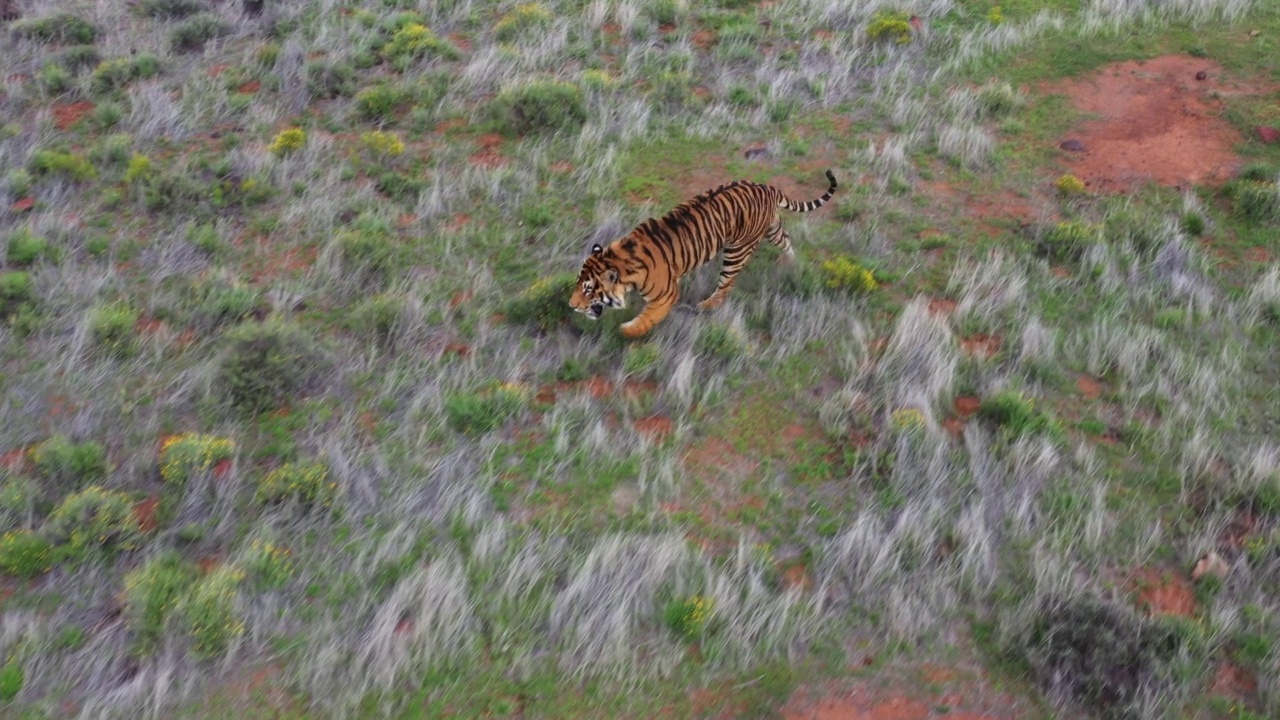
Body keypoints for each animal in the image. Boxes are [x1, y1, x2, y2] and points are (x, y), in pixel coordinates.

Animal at [573, 169, 839, 338]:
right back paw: (791, 263)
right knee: (786, 240)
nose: (571, 305)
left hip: (736, 251)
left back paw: (706, 305)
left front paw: (626, 330)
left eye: (588, 289)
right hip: (772, 228)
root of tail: (766, 187)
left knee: (726, 285)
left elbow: (648, 318)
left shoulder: (667, 294)